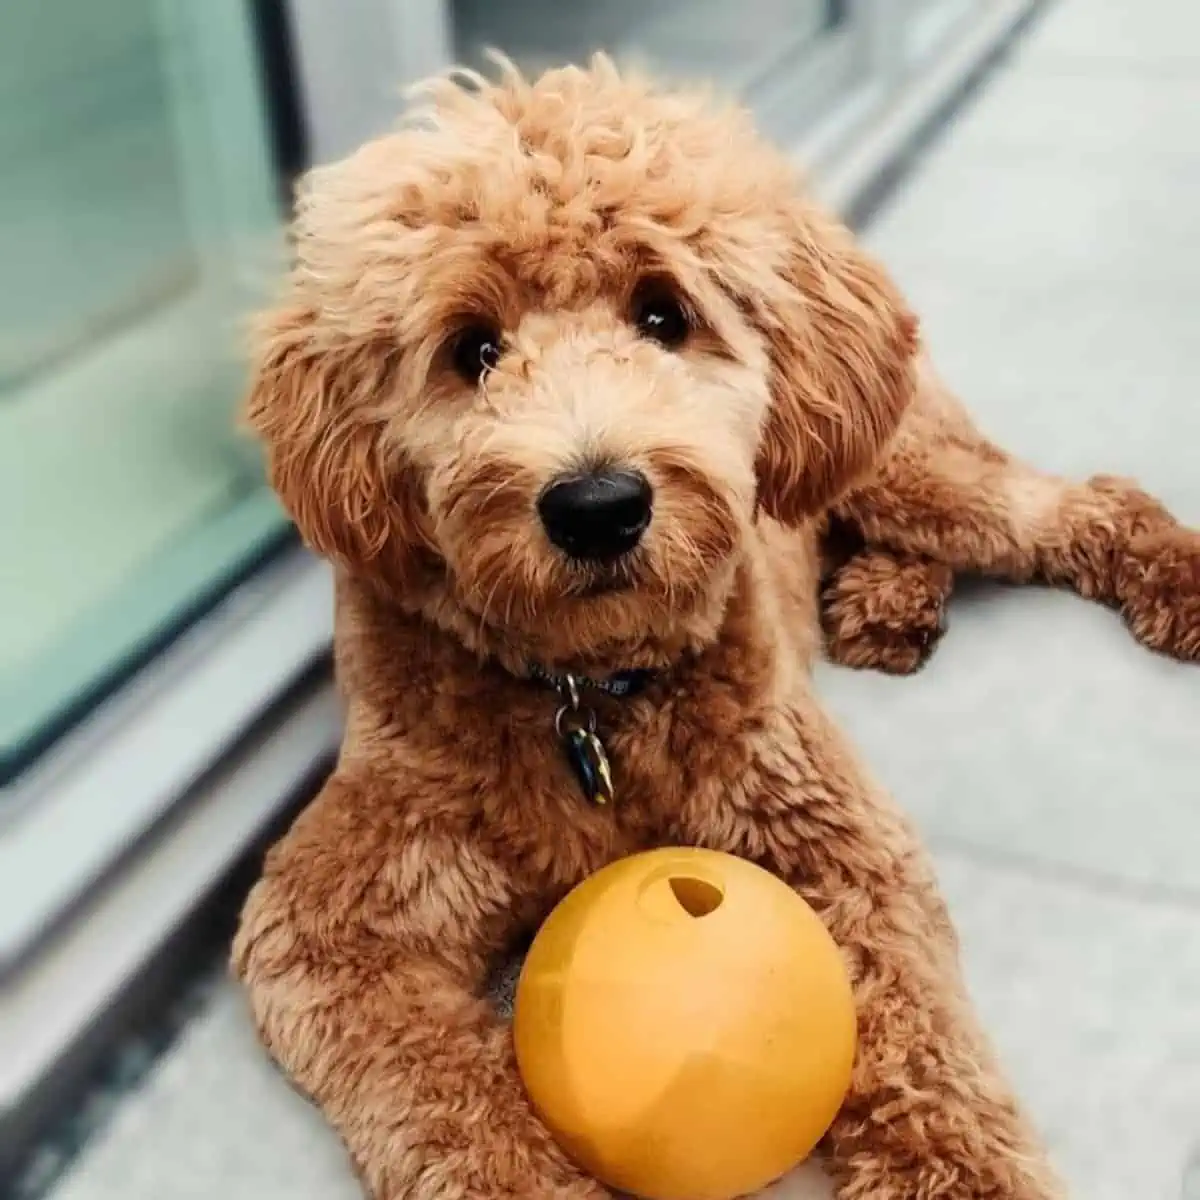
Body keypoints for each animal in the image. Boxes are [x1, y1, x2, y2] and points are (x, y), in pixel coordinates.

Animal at [231, 56, 1200, 1200]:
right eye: (473, 348)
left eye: (664, 314)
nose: (597, 505)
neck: (588, 699)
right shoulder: (338, 917)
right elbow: (444, 1095)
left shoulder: (831, 832)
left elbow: (918, 1032)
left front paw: (961, 1172)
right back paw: (887, 605)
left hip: (907, 469)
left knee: (1083, 505)